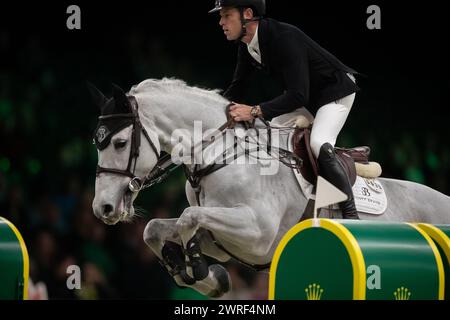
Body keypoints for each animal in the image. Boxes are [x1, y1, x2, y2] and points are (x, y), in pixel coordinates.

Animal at [89, 77, 450, 298]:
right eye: (97, 143)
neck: (218, 154)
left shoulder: (257, 234)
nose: (103, 208)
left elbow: (189, 216)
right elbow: (156, 228)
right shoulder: (221, 240)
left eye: (120, 143)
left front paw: (201, 271)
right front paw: (201, 276)